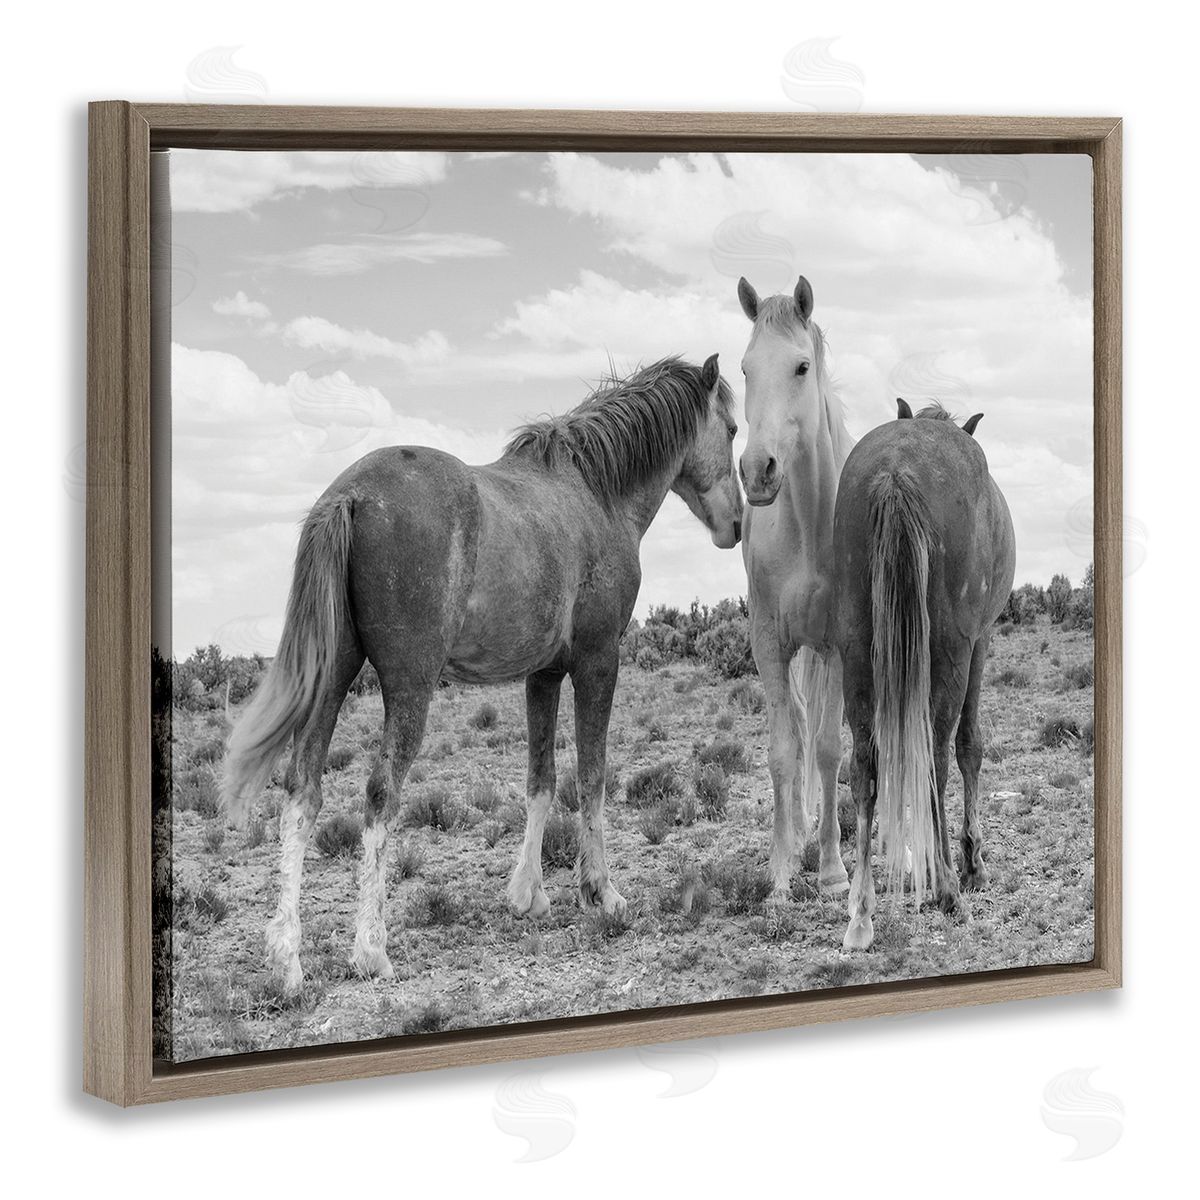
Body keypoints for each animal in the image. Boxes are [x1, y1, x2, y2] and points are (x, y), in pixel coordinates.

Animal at [222, 355, 743, 995]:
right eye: (733, 429)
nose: (736, 524)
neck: (596, 494)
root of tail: (348, 496)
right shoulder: (599, 662)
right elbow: (592, 777)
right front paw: (601, 892)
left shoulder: (543, 674)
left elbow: (541, 780)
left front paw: (528, 894)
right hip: (409, 689)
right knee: (379, 794)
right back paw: (371, 949)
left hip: (333, 678)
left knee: (303, 792)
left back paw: (288, 961)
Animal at [833, 400, 1015, 951]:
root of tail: (896, 471)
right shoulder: (979, 642)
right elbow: (970, 747)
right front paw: (974, 864)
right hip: (952, 649)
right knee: (935, 754)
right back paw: (949, 890)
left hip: (856, 646)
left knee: (865, 765)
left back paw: (861, 914)